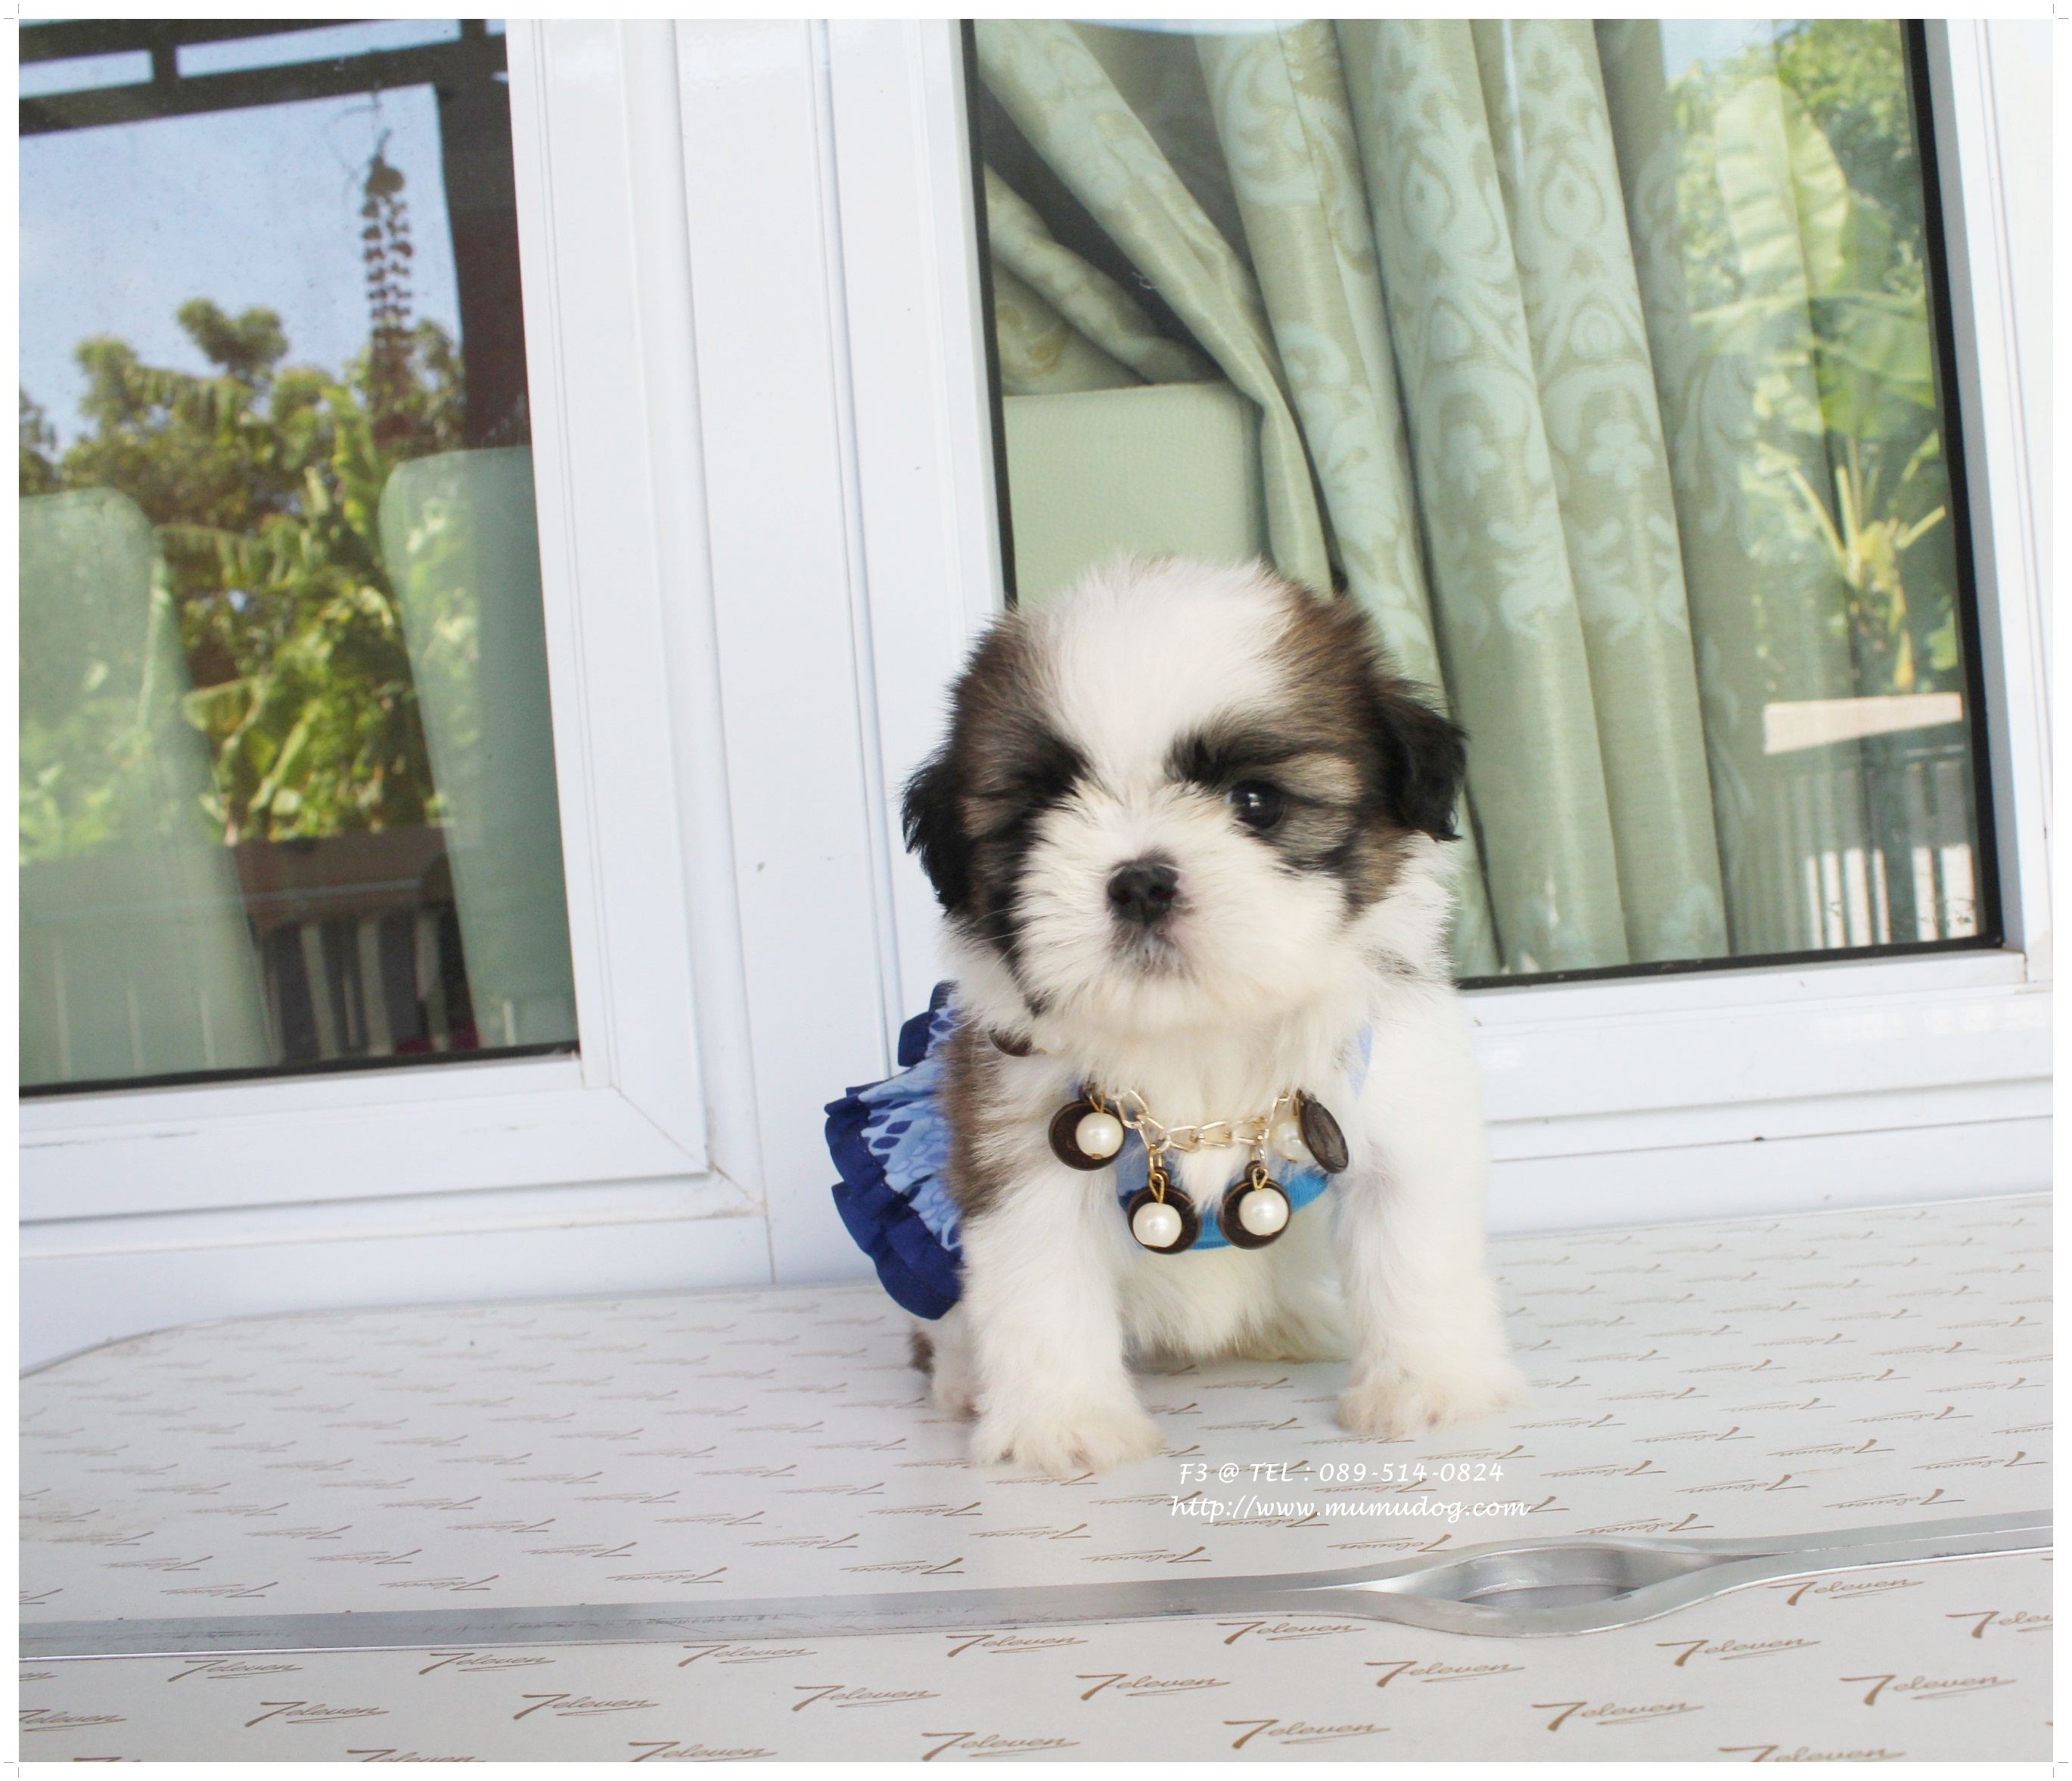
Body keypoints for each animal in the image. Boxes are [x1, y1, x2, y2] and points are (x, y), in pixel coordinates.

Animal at [894, 557, 1521, 1477]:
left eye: (1255, 801)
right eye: (1039, 815)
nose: (1140, 881)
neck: (1197, 1030)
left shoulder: (1397, 1109)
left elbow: (1414, 1251)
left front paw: (1427, 1388)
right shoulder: (1016, 1141)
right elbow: (1038, 1287)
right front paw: (1062, 1425)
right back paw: (967, 1378)